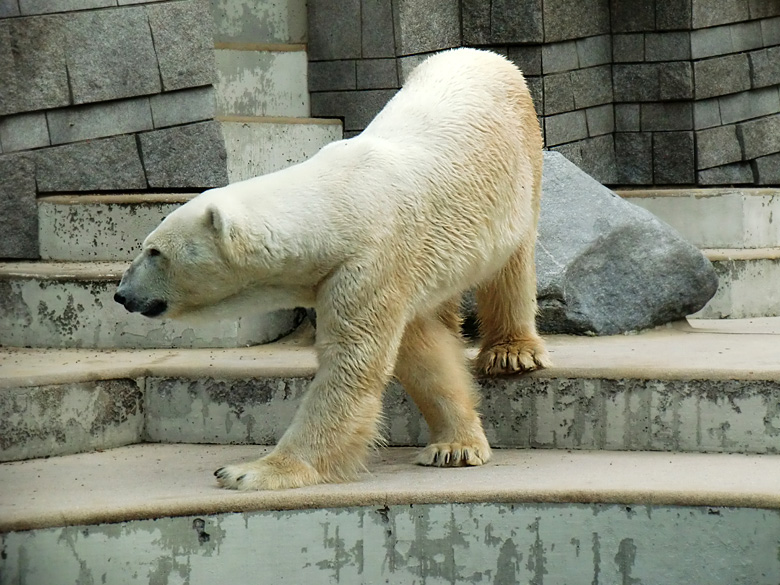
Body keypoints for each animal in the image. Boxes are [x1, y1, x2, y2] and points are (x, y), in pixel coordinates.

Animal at [116, 49, 552, 488]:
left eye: (154, 251)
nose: (121, 294)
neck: (336, 205)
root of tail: (484, 55)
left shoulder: (372, 259)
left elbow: (351, 361)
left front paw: (250, 471)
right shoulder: (385, 271)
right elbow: (422, 352)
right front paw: (454, 444)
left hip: (518, 168)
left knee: (511, 264)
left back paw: (511, 352)